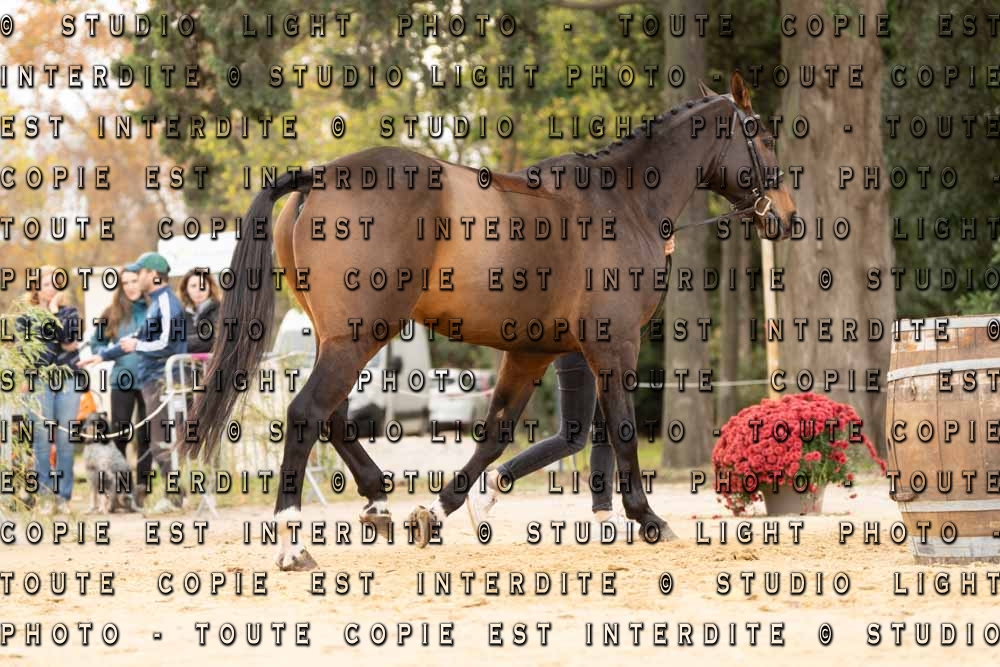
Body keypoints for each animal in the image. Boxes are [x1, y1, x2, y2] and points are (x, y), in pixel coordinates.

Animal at [185, 72, 798, 570]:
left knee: (332, 417)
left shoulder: (531, 351)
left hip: (339, 338)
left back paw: (379, 500)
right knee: (307, 414)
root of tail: (319, 176)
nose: (788, 220)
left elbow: (496, 435)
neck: (624, 205)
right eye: (763, 136)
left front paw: (438, 510)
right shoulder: (614, 348)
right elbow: (621, 431)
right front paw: (647, 518)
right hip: (360, 336)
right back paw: (292, 543)